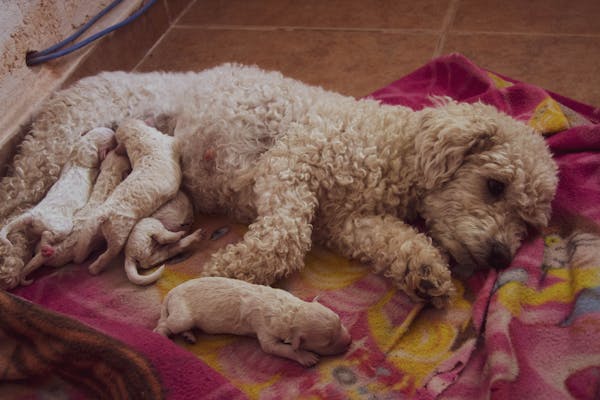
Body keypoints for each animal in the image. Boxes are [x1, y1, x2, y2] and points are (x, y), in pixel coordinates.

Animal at [73, 119, 180, 276]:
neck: (137, 138)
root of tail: (103, 211)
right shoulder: (169, 141)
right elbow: (175, 140)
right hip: (118, 234)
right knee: (110, 253)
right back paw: (96, 268)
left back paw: (92, 267)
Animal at [154, 276, 352, 368]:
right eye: (327, 343)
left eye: (340, 321)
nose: (350, 342)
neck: (290, 312)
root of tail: (172, 292)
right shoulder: (265, 330)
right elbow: (279, 348)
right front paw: (305, 356)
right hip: (183, 315)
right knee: (164, 324)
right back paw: (161, 335)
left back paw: (188, 335)